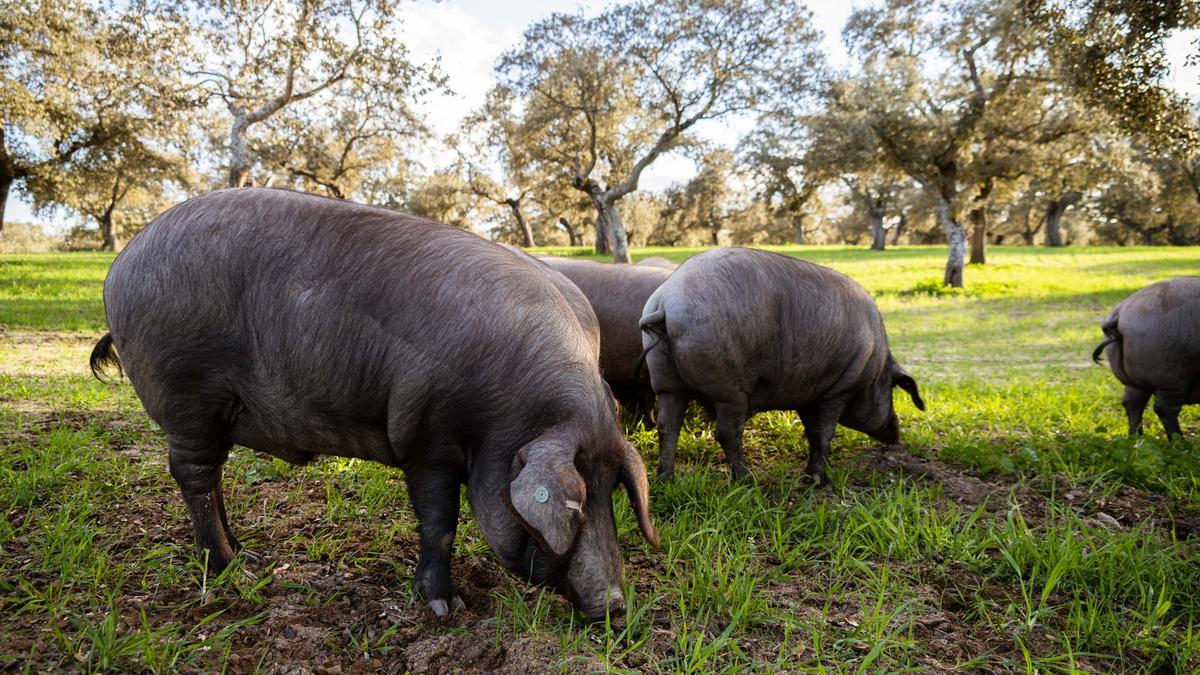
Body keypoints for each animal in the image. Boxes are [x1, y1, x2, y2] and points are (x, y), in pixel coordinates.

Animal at [638, 248, 926, 482]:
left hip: (666, 381)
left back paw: (666, 479)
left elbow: (812, 432)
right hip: (728, 386)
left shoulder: (809, 393)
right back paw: (747, 480)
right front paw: (820, 481)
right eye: (892, 389)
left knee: (667, 427)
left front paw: (811, 475)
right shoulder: (838, 389)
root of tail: (666, 301)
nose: (896, 433)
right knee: (726, 432)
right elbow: (824, 433)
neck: (875, 364)